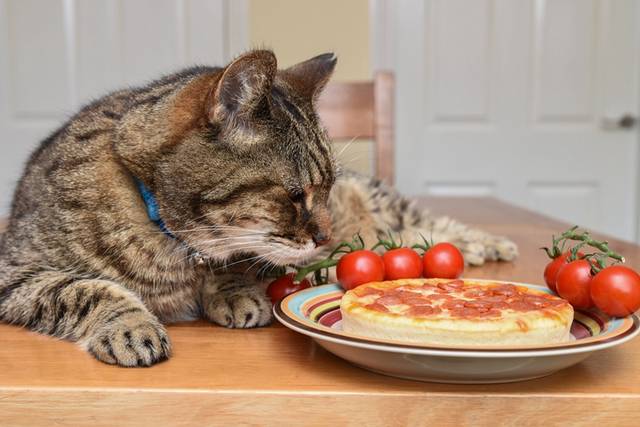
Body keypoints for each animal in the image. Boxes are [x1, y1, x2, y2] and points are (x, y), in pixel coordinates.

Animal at [0, 51, 516, 368]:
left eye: (327, 188)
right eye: (295, 194)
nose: (329, 236)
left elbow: (237, 263)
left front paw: (233, 290)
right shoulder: (14, 268)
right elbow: (87, 289)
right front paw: (132, 325)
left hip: (383, 201)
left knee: (428, 220)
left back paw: (487, 243)